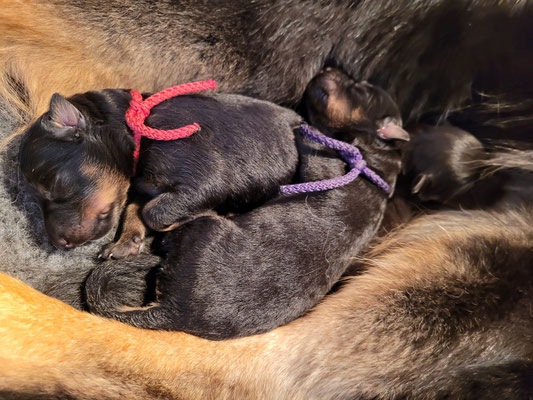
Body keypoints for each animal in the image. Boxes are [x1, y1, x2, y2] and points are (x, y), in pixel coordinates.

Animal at [18, 88, 302, 256]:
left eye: (55, 185)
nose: (57, 243)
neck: (135, 127)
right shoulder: (141, 187)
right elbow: (135, 209)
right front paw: (124, 243)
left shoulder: (205, 177)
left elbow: (152, 212)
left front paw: (204, 214)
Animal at [86, 69, 408, 340]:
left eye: (360, 89)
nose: (328, 68)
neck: (379, 160)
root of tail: (173, 312)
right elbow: (138, 207)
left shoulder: (326, 167)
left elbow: (151, 210)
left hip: (206, 229)